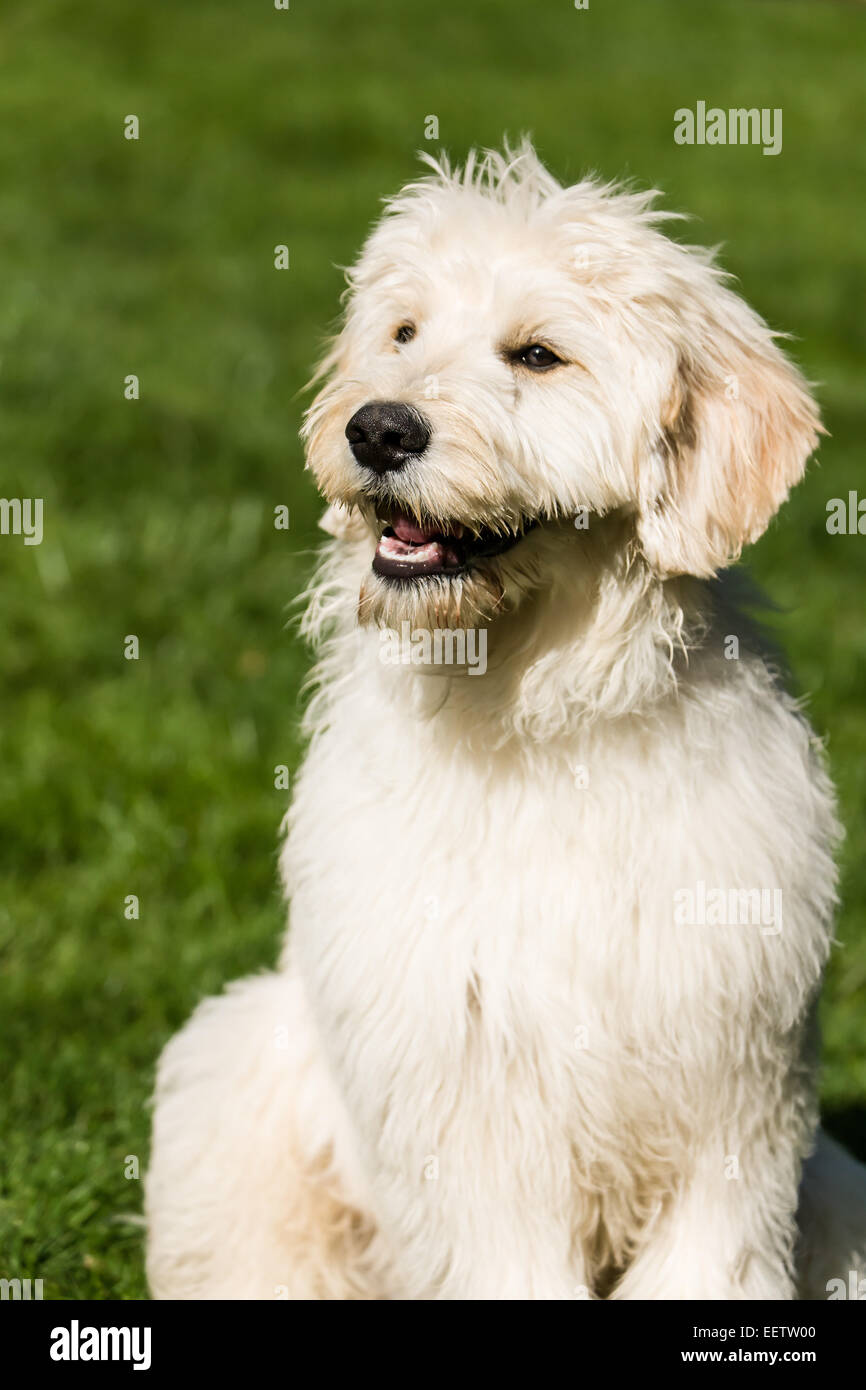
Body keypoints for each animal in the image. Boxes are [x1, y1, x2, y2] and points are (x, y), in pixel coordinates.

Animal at [145, 146, 866, 1295]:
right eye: (403, 333)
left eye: (537, 354)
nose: (377, 427)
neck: (540, 718)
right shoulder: (465, 1114)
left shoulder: (732, 1095)